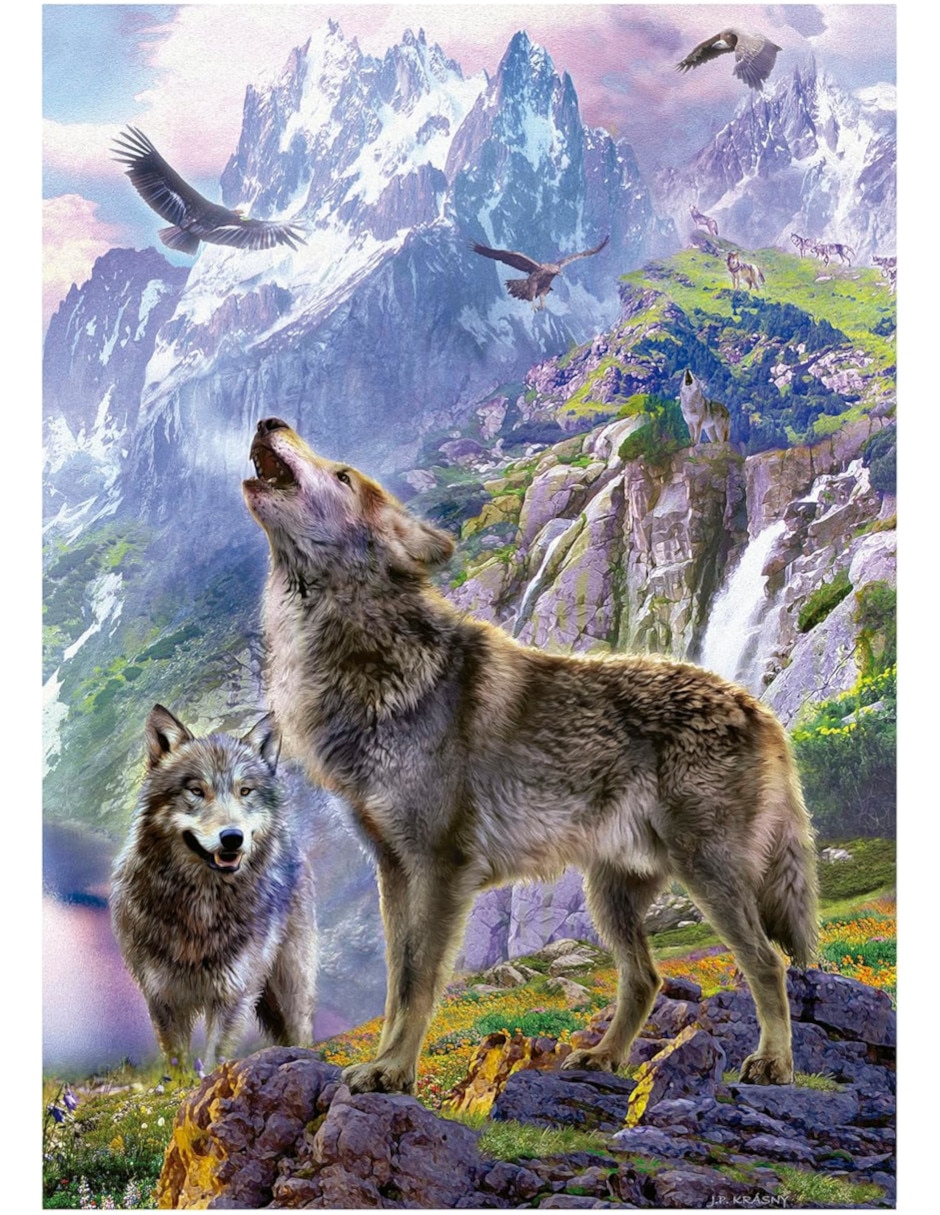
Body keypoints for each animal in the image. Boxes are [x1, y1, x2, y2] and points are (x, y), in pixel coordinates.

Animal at [110, 705, 318, 1066]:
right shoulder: (162, 998)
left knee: (301, 1031)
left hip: (288, 985)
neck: (202, 908)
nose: (232, 837)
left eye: (244, 791)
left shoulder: (234, 994)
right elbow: (178, 1062)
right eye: (196, 790)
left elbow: (213, 1060)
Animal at [244, 418, 817, 1096]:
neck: (367, 659)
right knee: (646, 977)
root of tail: (760, 709)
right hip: (611, 894)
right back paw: (604, 1056)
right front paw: (385, 1066)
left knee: (767, 963)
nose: (271, 422)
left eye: (341, 475)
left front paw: (393, 1070)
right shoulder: (394, 869)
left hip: (707, 875)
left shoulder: (441, 867)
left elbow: (419, 982)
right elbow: (395, 984)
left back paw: (773, 1063)